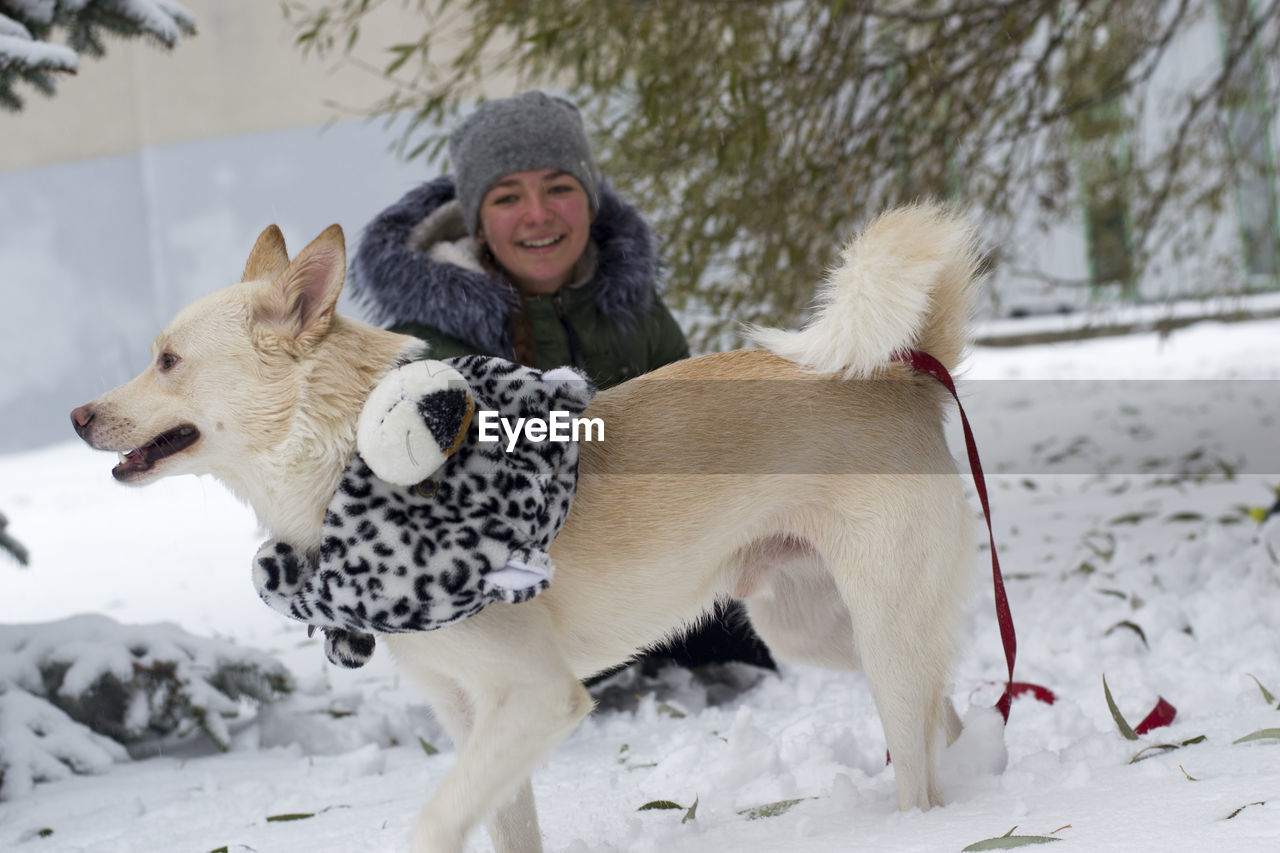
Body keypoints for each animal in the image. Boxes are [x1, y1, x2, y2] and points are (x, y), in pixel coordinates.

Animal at [72, 202, 977, 845]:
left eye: (167, 360)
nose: (77, 417)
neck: (345, 464)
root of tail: (904, 370)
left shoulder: (537, 697)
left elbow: (437, 820)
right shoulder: (473, 714)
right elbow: (503, 827)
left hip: (880, 633)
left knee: (922, 761)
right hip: (815, 630)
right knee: (949, 716)